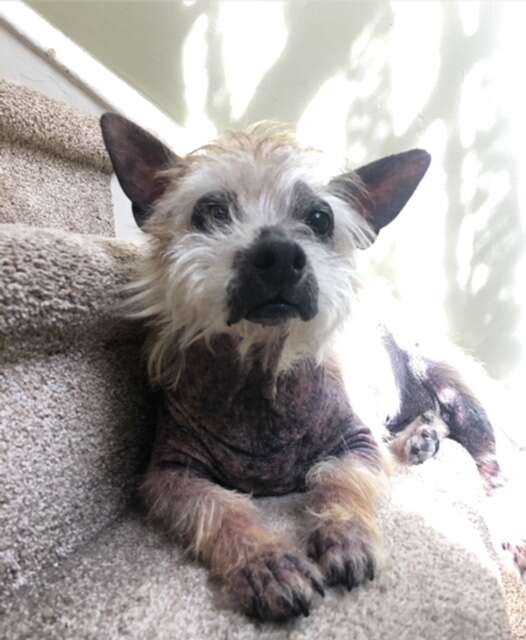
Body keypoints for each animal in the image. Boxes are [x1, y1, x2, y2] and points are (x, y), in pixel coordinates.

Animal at [101, 114, 524, 620]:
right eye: (211, 211)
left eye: (320, 219)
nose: (280, 255)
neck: (261, 373)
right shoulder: (170, 474)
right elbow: (221, 509)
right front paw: (266, 562)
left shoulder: (357, 443)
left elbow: (340, 482)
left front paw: (346, 535)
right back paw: (418, 438)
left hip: (454, 389)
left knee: (491, 468)